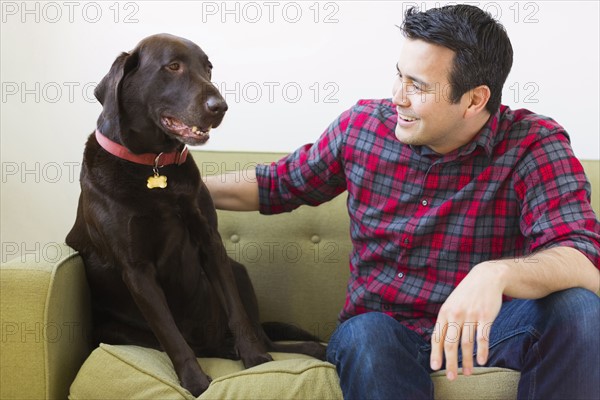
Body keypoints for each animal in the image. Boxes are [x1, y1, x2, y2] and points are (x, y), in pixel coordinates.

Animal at [65, 32, 326, 396]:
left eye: (208, 68)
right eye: (173, 66)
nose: (220, 107)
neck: (154, 166)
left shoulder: (210, 242)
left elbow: (239, 315)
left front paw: (255, 361)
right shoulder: (136, 270)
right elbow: (170, 334)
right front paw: (195, 381)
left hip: (239, 270)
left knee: (264, 335)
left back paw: (303, 348)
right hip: (112, 330)